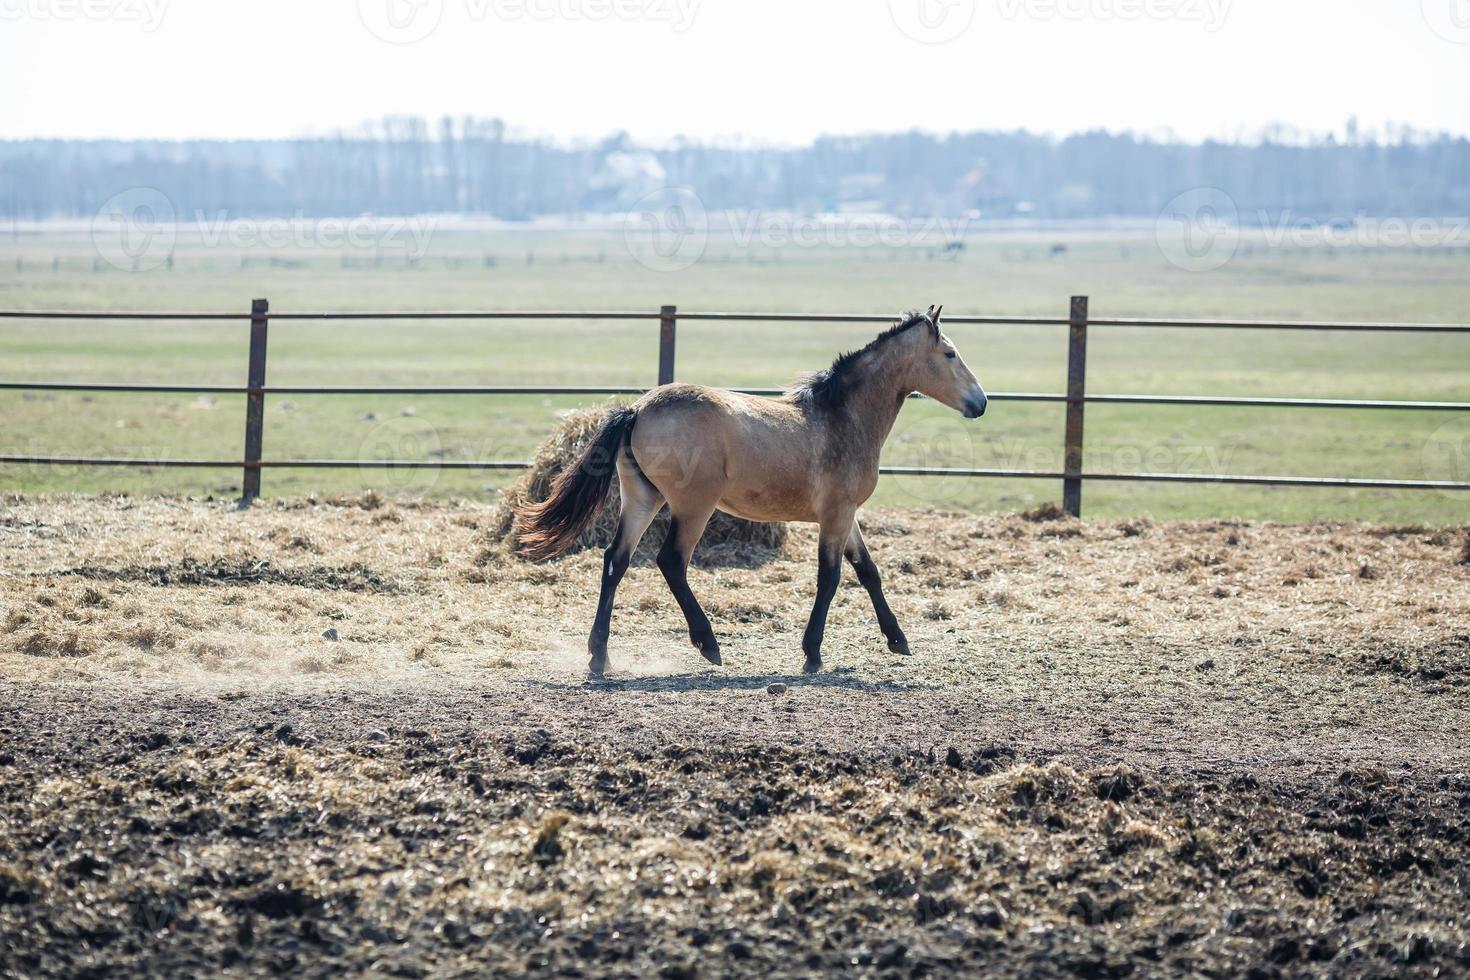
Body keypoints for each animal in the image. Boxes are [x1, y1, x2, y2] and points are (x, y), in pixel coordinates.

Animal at [514, 310, 987, 678]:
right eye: (950, 354)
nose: (980, 403)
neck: (842, 417)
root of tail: (637, 409)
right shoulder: (835, 515)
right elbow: (831, 577)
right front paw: (812, 655)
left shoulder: (846, 515)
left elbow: (868, 571)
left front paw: (898, 640)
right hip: (693, 506)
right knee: (671, 562)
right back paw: (708, 645)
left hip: (641, 500)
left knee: (616, 561)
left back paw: (600, 658)